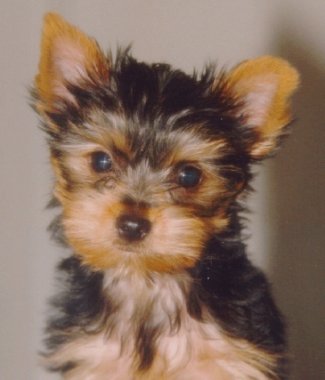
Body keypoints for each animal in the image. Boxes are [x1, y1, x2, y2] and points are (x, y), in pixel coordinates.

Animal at [33, 11, 298, 380]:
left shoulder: (233, 360)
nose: (132, 225)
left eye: (189, 175)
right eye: (101, 161)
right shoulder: (94, 359)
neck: (146, 280)